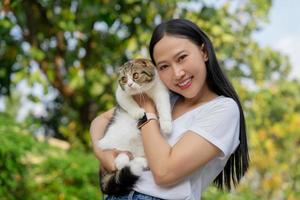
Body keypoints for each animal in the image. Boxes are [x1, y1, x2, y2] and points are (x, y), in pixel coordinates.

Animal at [96, 58, 171, 195]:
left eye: (135, 75)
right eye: (124, 79)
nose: (130, 84)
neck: (145, 91)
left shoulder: (161, 91)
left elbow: (164, 106)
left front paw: (166, 124)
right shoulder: (120, 93)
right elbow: (128, 102)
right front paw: (138, 112)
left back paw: (140, 162)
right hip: (109, 141)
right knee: (119, 156)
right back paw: (122, 161)